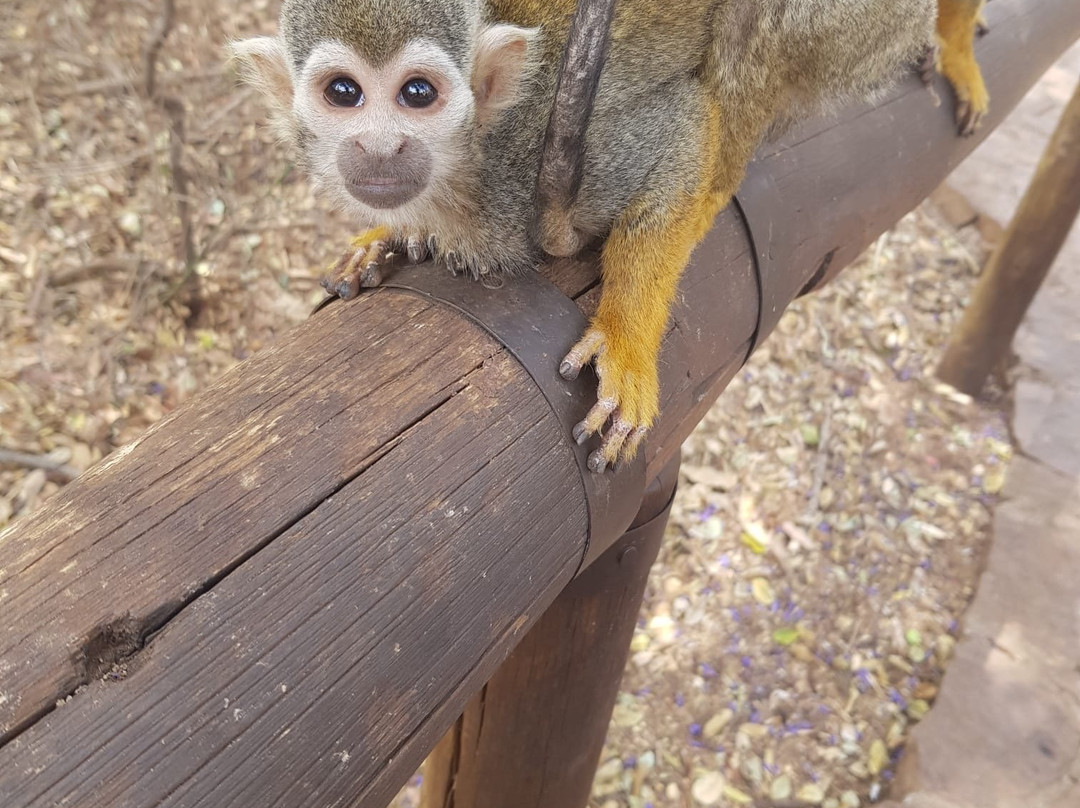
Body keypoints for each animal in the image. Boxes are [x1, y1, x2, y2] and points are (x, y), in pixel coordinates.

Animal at [230, 0, 989, 473]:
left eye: (418, 94)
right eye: (343, 93)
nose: (381, 148)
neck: (472, 162)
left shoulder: (547, 139)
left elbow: (682, 125)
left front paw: (626, 334)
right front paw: (393, 236)